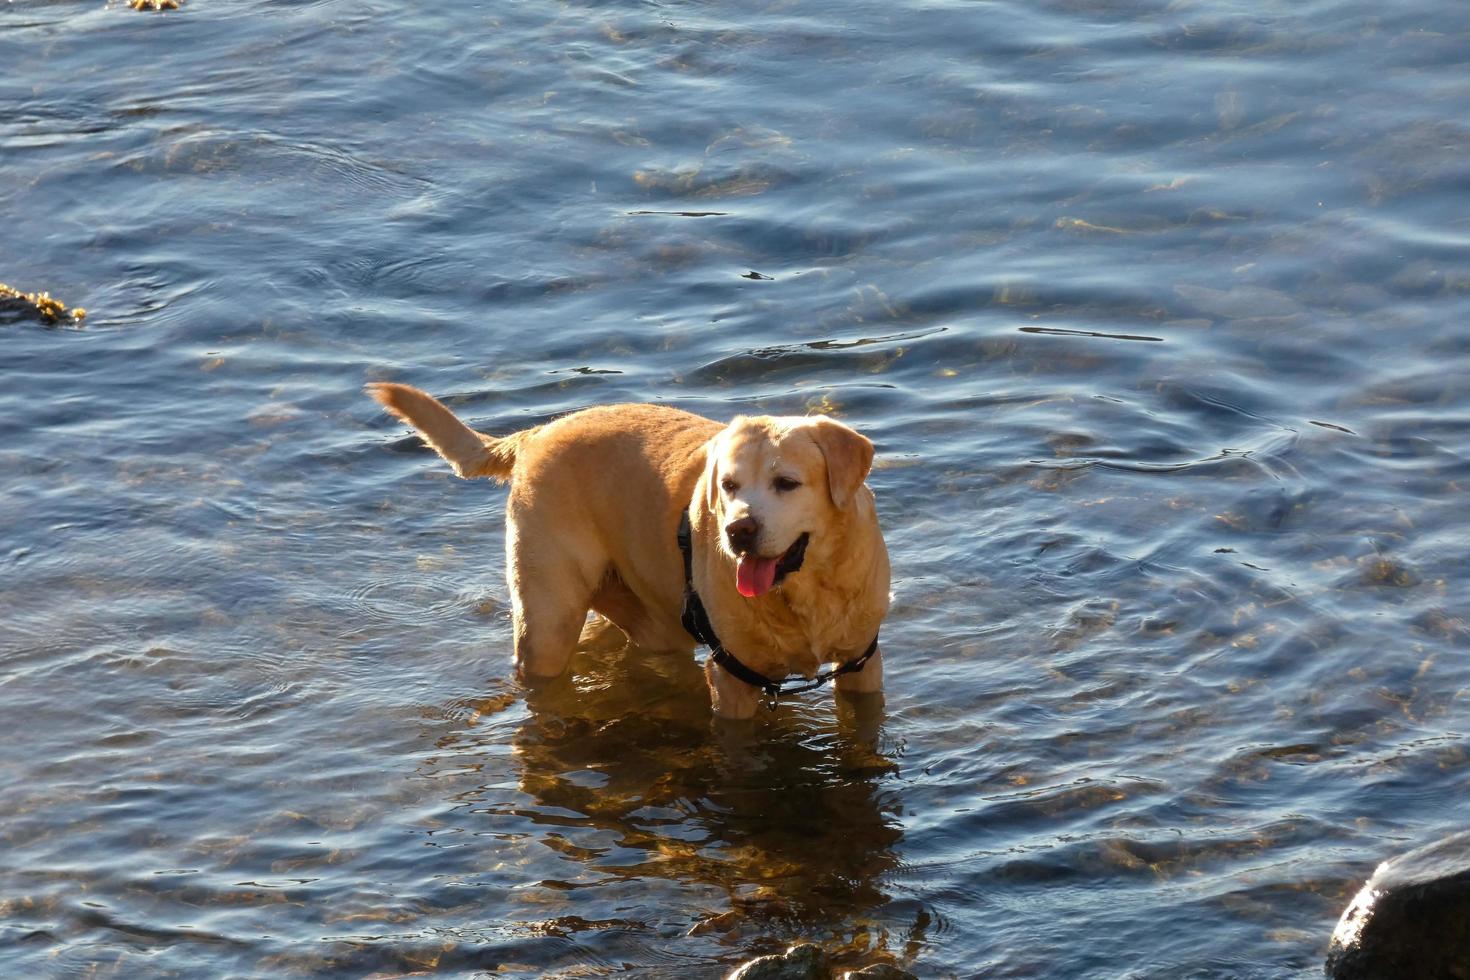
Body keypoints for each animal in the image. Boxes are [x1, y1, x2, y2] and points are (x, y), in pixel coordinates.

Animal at [373, 382, 887, 719]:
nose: (738, 529)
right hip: (549, 618)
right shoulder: (732, 678)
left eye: (787, 483)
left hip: (654, 618)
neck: (803, 593)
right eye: (728, 485)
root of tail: (537, 434)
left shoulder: (861, 664)